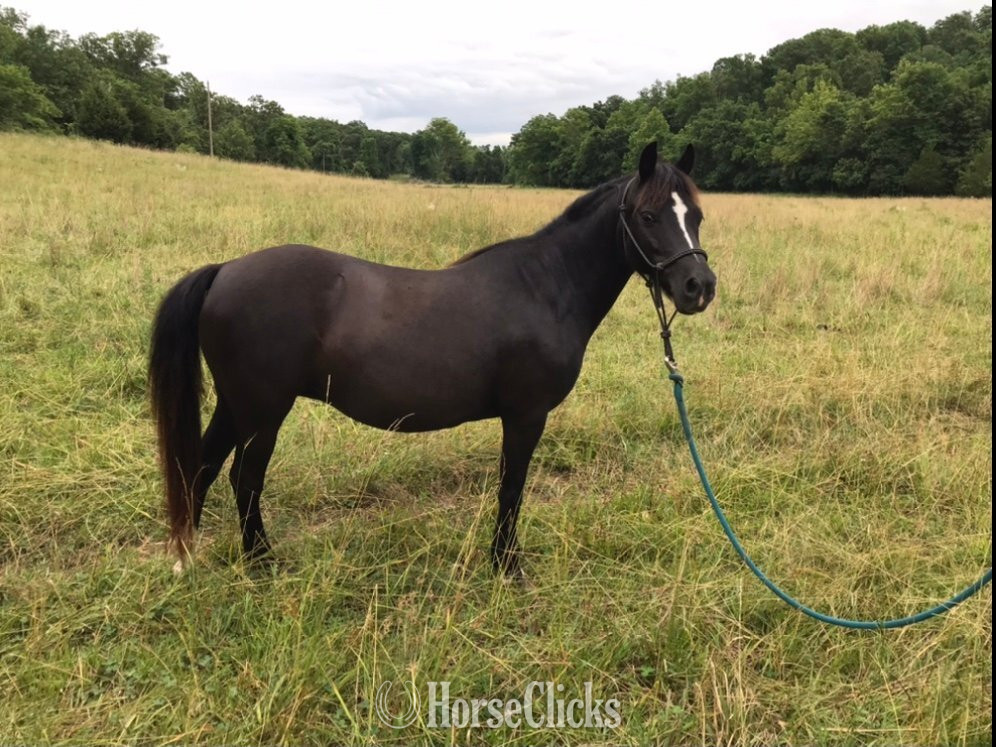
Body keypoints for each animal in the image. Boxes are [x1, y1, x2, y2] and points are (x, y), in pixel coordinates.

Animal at [148, 142, 716, 575]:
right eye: (647, 215)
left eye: (697, 216)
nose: (699, 287)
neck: (545, 286)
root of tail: (225, 271)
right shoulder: (526, 416)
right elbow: (512, 489)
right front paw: (506, 565)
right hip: (263, 411)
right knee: (244, 479)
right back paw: (261, 562)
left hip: (236, 406)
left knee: (201, 467)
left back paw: (189, 557)